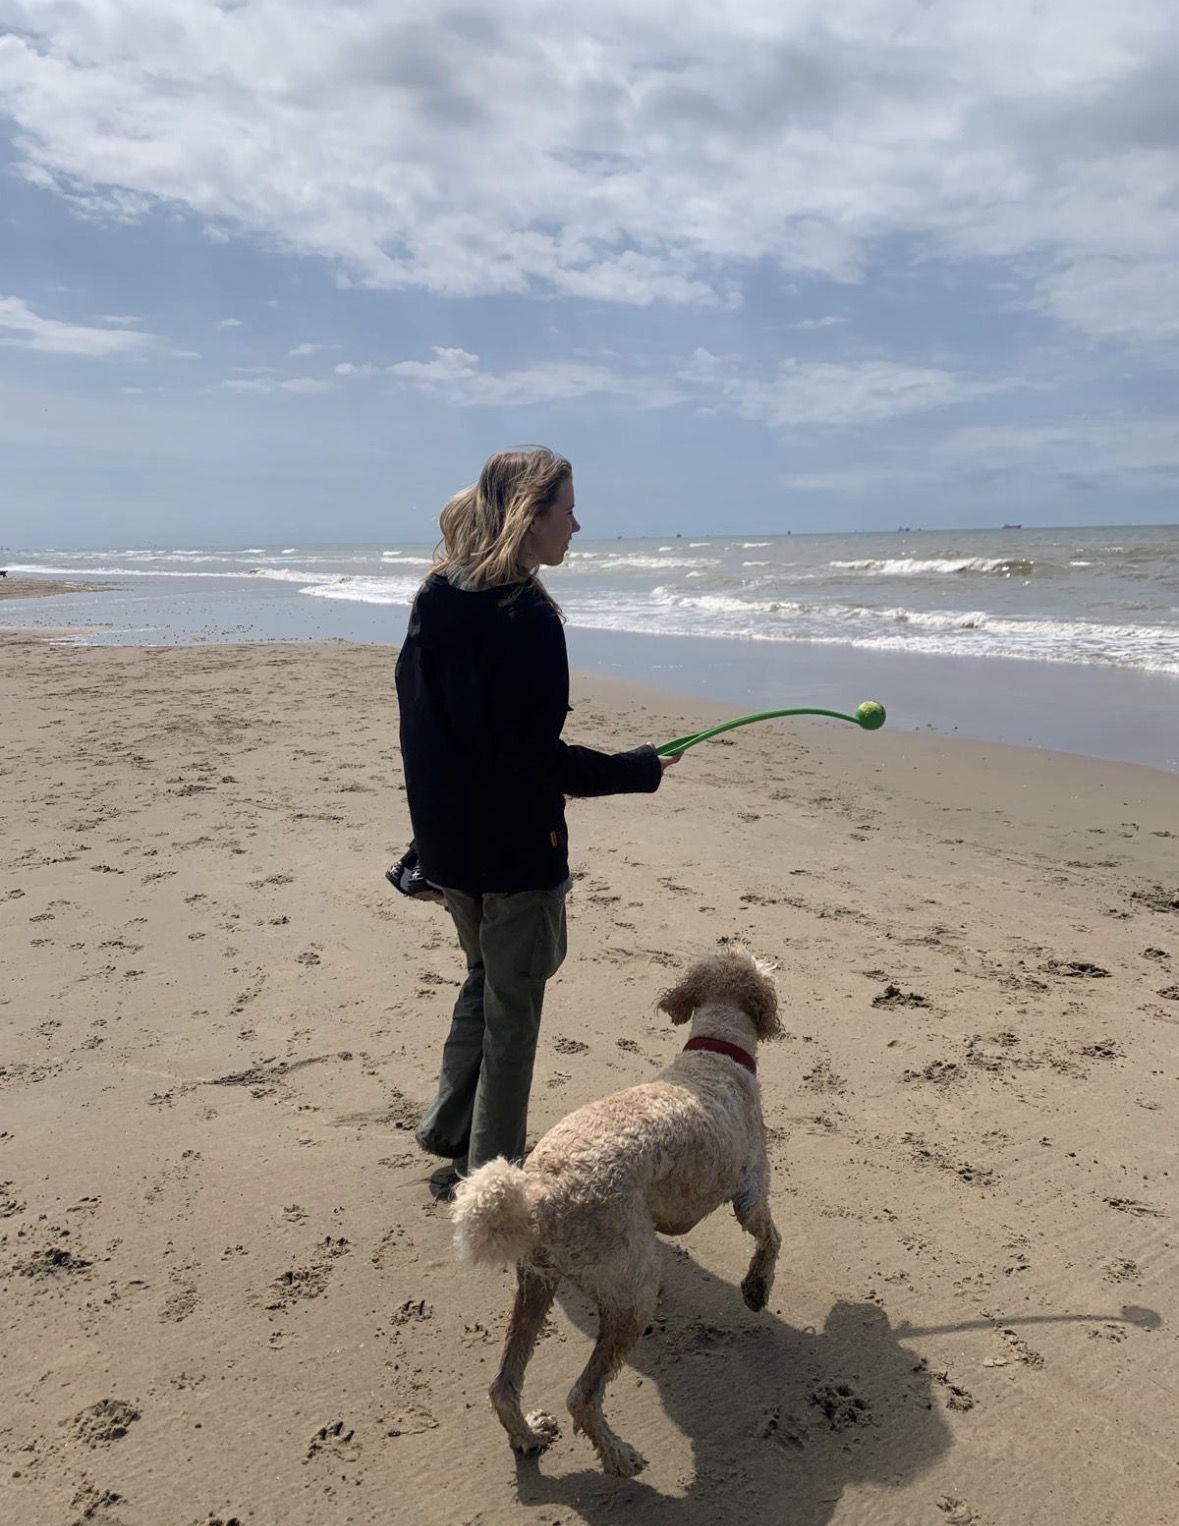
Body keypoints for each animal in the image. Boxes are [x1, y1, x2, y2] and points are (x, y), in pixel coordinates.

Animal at [450, 945, 782, 1477]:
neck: (715, 1054)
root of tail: (542, 1193)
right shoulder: (751, 1190)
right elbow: (770, 1238)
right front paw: (756, 1289)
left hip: (538, 1281)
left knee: (503, 1384)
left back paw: (528, 1436)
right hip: (632, 1291)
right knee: (582, 1397)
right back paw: (619, 1456)